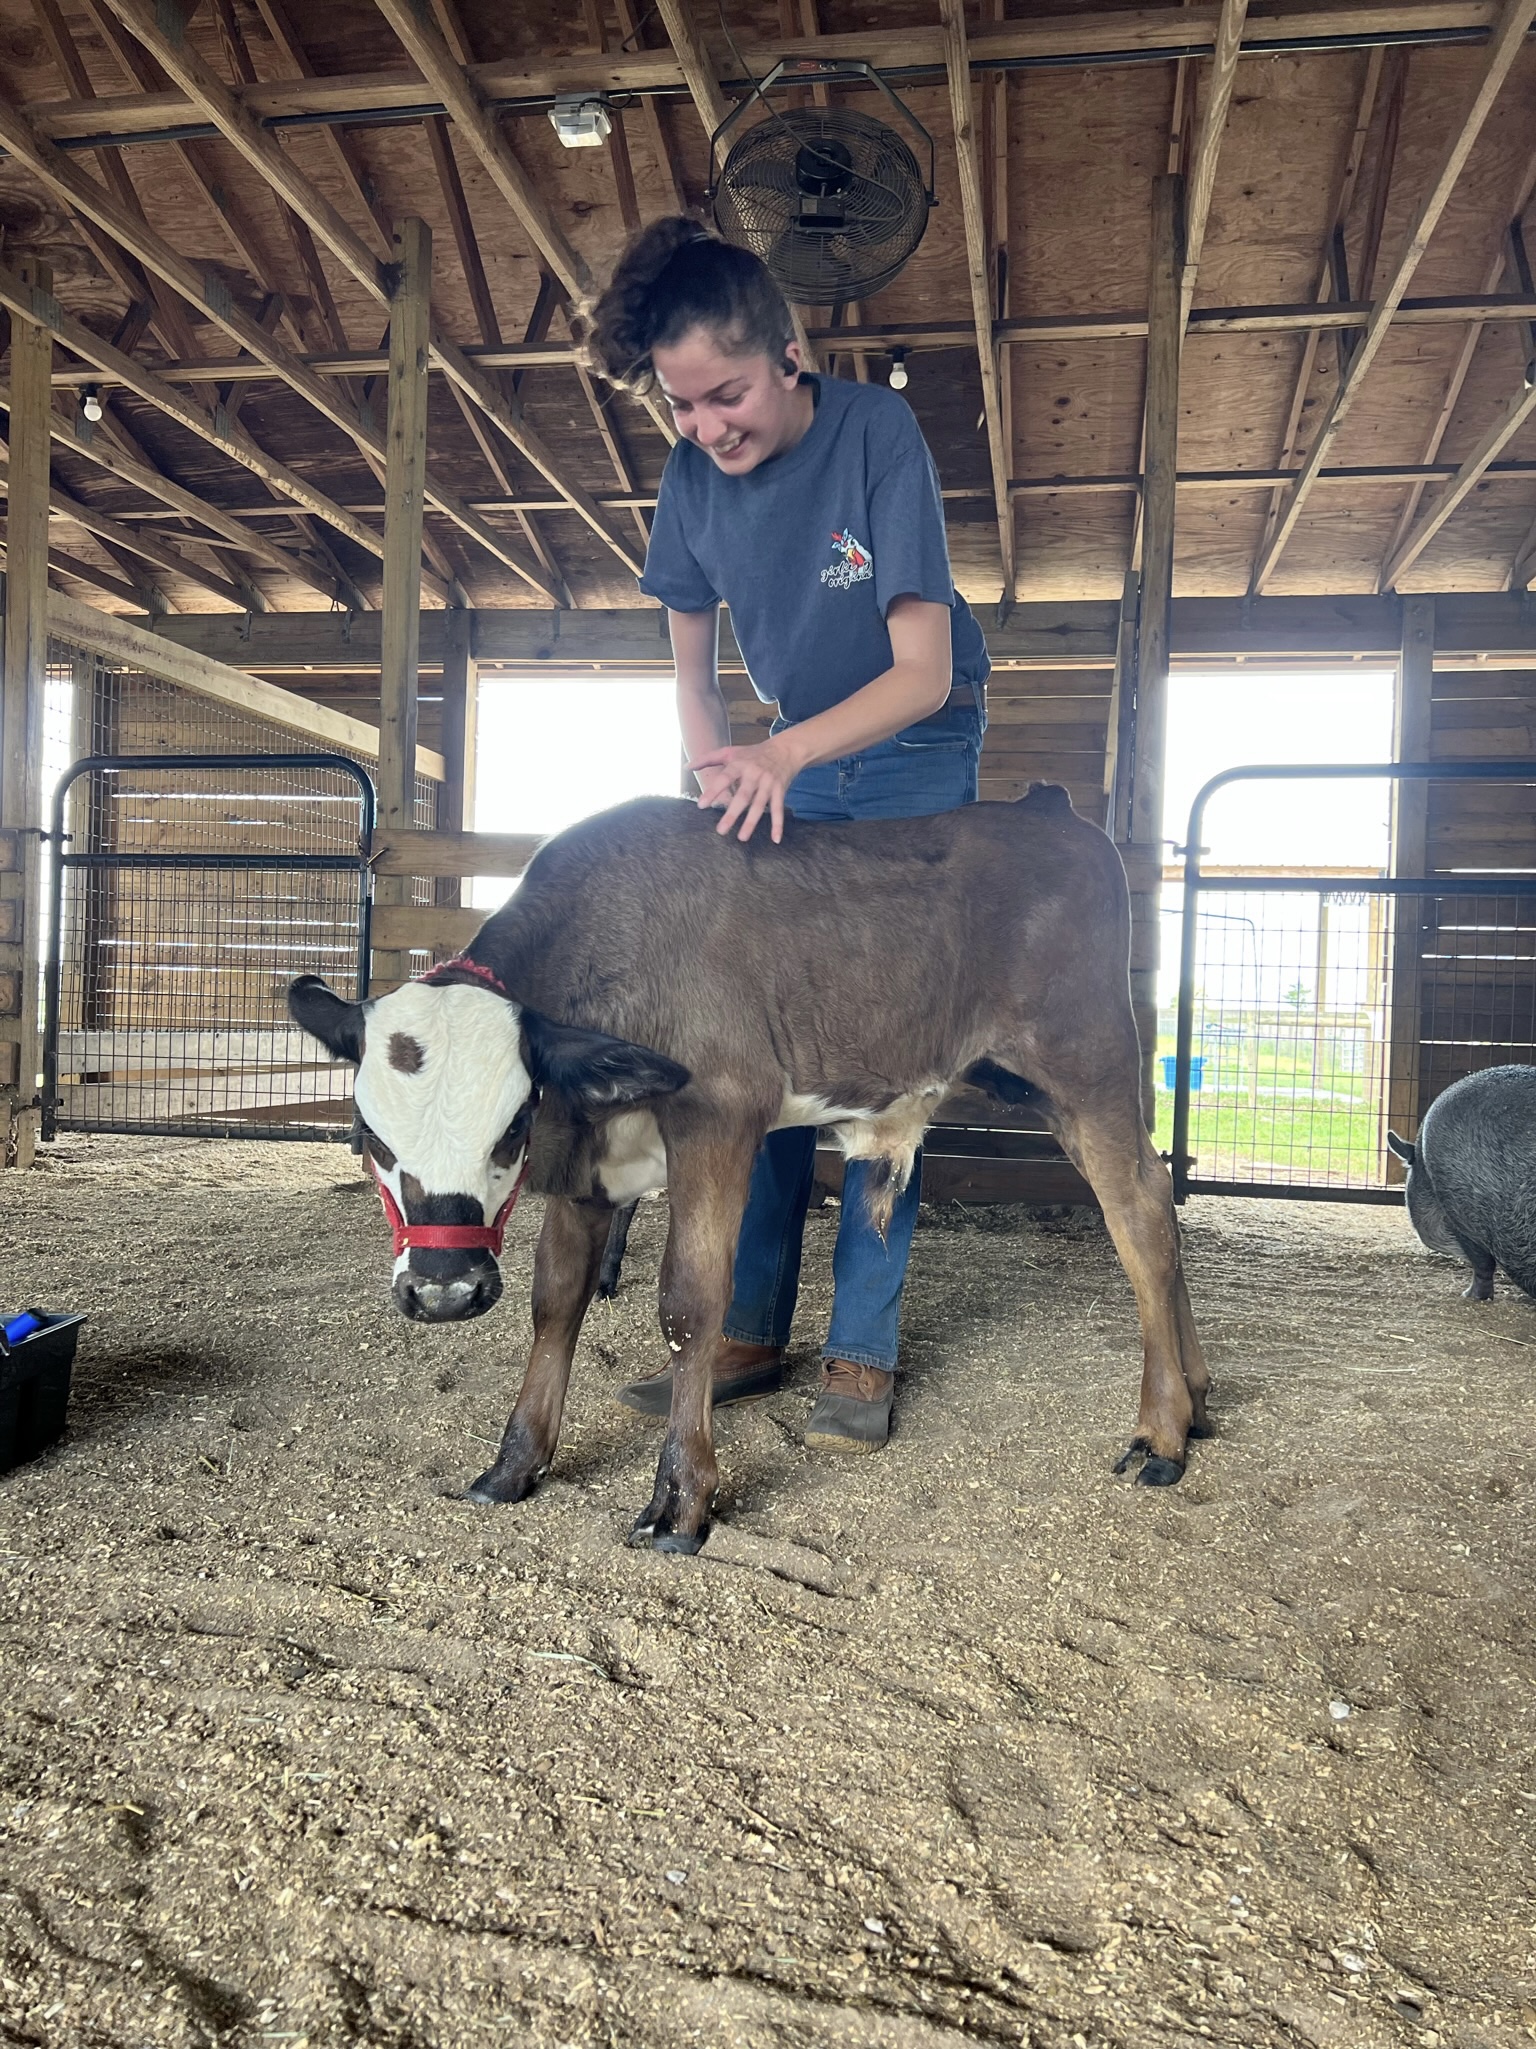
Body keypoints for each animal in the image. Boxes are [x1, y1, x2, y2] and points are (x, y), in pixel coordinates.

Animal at [289, 790, 1208, 1552]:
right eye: (367, 1133)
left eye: (512, 1125)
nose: (443, 1290)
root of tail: (1052, 812)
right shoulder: (590, 1159)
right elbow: (556, 1302)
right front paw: (515, 1464)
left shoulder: (719, 1116)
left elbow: (690, 1303)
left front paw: (681, 1499)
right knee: (1160, 1202)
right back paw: (1196, 1397)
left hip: (1086, 1063)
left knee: (1141, 1216)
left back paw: (1160, 1429)